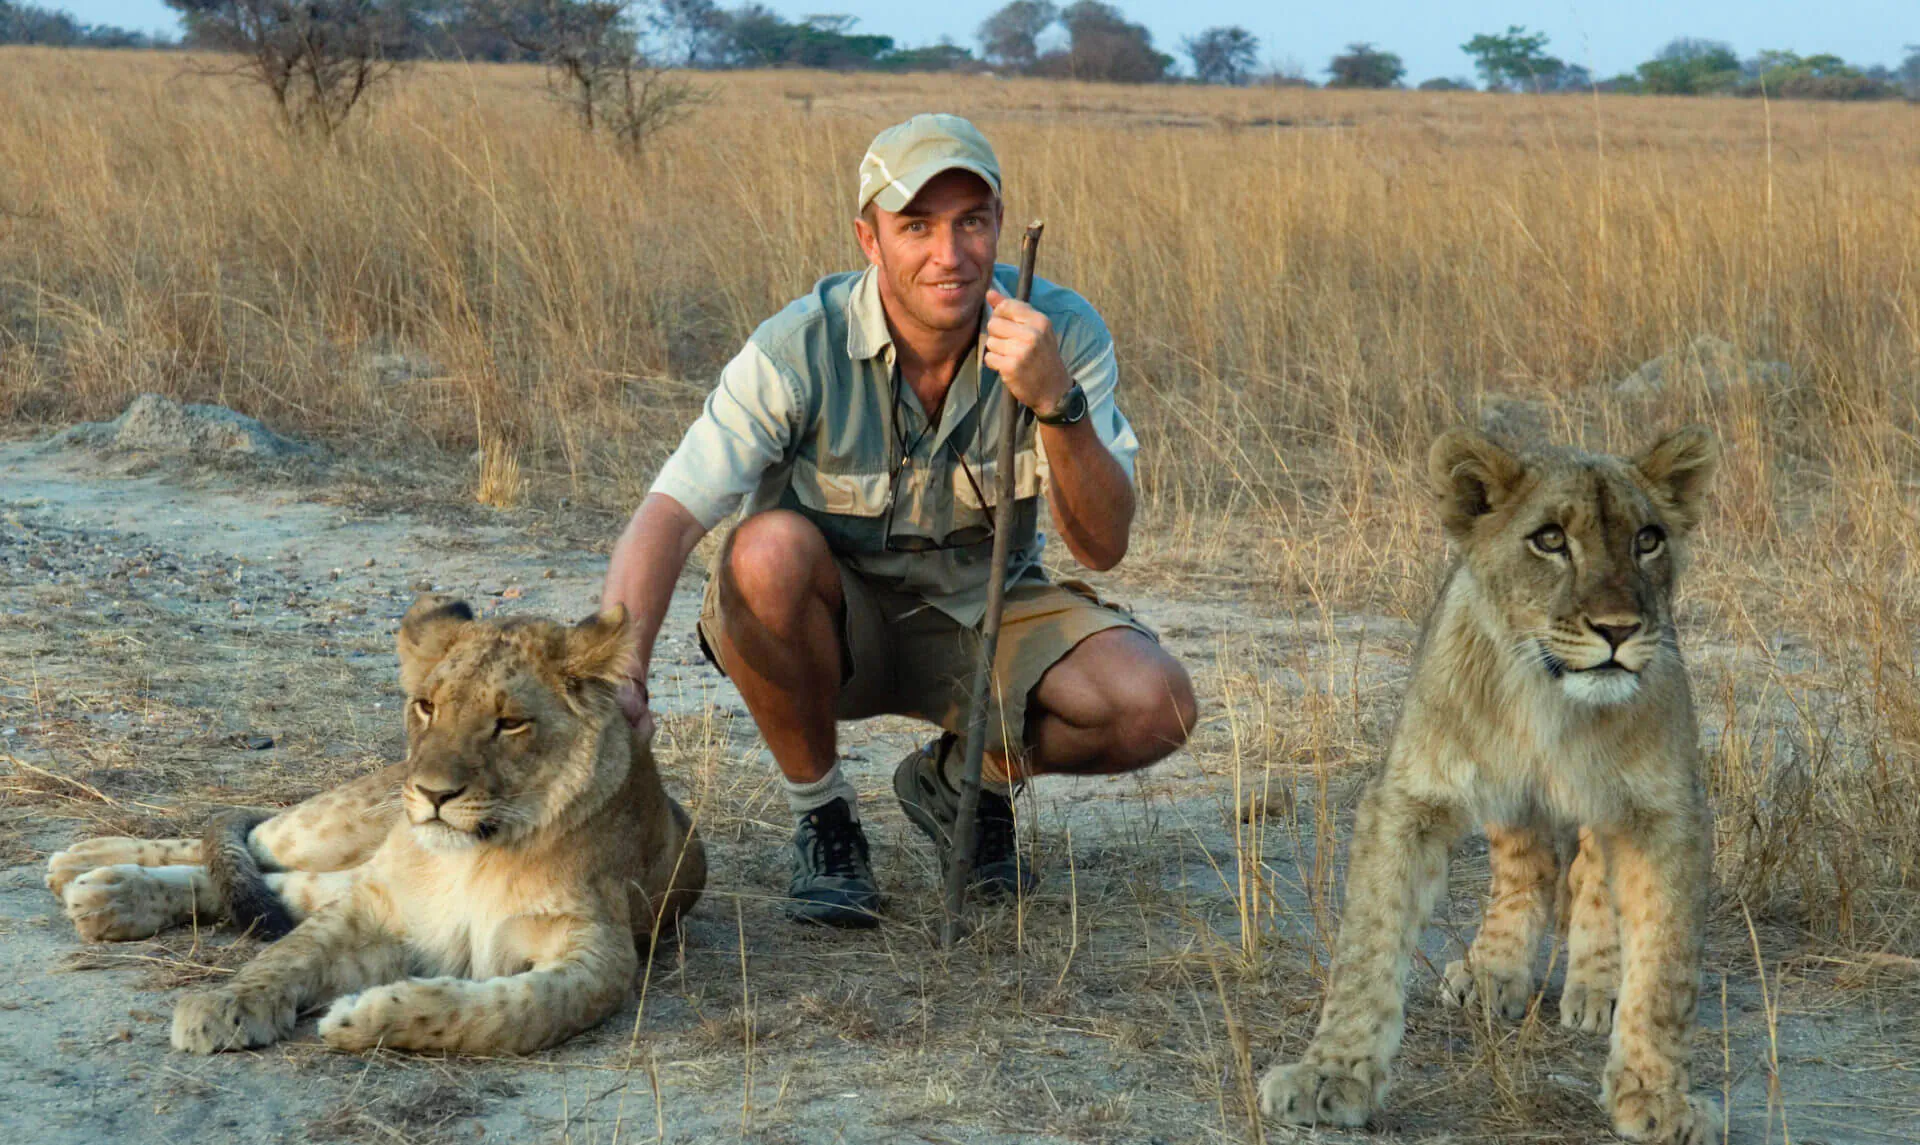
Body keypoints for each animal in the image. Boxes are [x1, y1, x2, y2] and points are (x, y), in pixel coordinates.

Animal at [47, 596, 705, 1056]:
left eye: (510, 722)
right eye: (427, 706)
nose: (433, 794)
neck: (477, 857)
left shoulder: (600, 955)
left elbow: (512, 1013)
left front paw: (366, 1016)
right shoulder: (378, 908)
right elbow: (288, 954)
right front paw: (222, 1002)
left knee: (278, 884)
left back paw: (104, 895)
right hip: (334, 827)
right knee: (251, 845)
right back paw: (88, 866)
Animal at [1258, 426, 1721, 1145]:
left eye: (1647, 539)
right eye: (1550, 539)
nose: (1617, 629)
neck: (1547, 699)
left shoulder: (1667, 813)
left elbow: (1666, 971)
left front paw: (1657, 1096)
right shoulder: (1410, 798)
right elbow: (1368, 946)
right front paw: (1330, 1076)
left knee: (1590, 869)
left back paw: (1597, 986)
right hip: (1508, 802)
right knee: (1527, 867)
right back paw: (1490, 971)